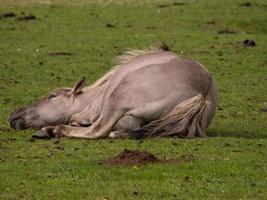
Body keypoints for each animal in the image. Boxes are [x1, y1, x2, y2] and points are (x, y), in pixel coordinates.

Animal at [7, 45, 218, 139]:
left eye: (51, 96)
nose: (14, 113)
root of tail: (203, 93)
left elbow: (82, 121)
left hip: (118, 97)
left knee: (97, 130)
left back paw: (52, 130)